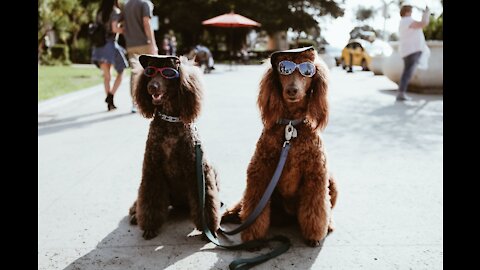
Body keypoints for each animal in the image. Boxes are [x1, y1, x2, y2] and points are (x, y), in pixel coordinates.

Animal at [131, 53, 221, 239]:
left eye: (168, 73)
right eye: (150, 71)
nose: (151, 87)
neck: (170, 121)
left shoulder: (198, 169)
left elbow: (207, 200)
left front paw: (209, 228)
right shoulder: (152, 169)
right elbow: (149, 198)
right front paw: (150, 227)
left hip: (213, 169)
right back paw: (134, 214)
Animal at [221, 47, 338, 247]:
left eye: (307, 70)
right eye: (284, 69)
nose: (292, 90)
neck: (290, 125)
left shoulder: (316, 175)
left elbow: (316, 208)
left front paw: (314, 235)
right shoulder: (259, 172)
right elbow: (254, 205)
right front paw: (253, 237)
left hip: (332, 183)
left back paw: (328, 224)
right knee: (244, 204)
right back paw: (231, 214)